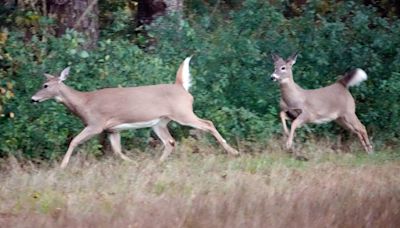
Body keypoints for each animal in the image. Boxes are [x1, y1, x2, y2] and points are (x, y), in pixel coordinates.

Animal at [32, 57, 239, 167]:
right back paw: (157, 164)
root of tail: (182, 87)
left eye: (45, 85)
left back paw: (233, 152)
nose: (33, 99)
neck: (84, 103)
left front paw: (62, 166)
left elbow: (74, 141)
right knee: (170, 141)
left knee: (208, 123)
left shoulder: (96, 124)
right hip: (160, 122)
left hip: (183, 113)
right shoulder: (112, 129)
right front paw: (133, 163)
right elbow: (117, 151)